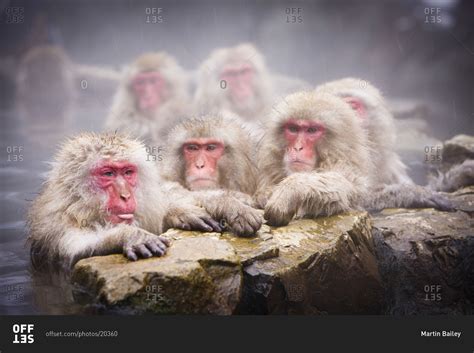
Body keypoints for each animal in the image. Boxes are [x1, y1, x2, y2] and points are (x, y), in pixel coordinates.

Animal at [28, 132, 221, 270]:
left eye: (128, 172)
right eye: (108, 173)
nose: (125, 195)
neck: (80, 208)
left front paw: (181, 212)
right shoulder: (56, 226)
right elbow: (74, 252)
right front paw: (129, 235)